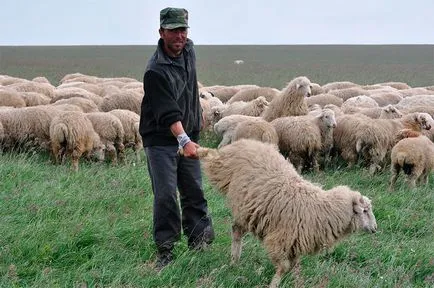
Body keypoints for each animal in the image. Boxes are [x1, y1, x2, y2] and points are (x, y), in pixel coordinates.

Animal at [190, 138, 376, 286]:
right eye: (365, 211)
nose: (375, 229)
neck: (321, 209)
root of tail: (248, 141)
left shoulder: (294, 245)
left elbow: (291, 266)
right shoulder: (279, 240)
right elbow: (283, 267)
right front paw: (274, 284)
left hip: (245, 208)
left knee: (237, 230)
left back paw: (234, 261)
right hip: (221, 167)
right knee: (211, 156)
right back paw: (196, 150)